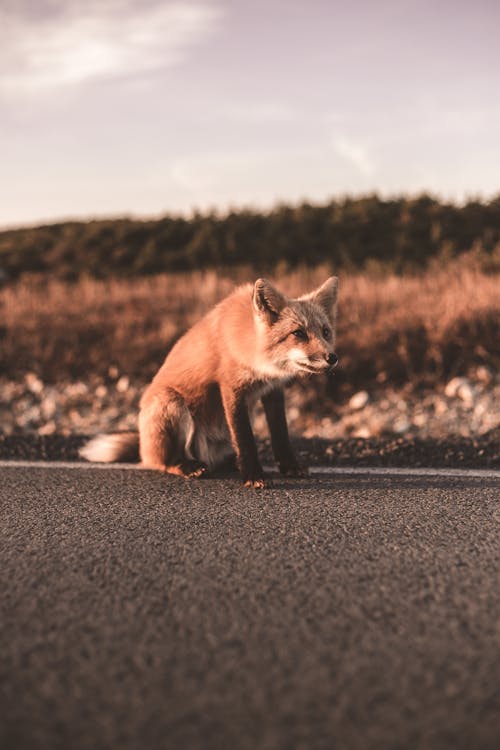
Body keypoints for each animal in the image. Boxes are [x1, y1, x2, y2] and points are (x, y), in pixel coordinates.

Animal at [80, 276, 338, 488]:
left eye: (325, 332)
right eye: (298, 334)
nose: (332, 358)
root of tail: (143, 446)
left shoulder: (272, 390)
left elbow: (280, 434)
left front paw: (289, 467)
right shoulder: (231, 388)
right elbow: (245, 437)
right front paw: (253, 475)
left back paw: (230, 463)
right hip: (172, 403)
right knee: (164, 461)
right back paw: (187, 466)